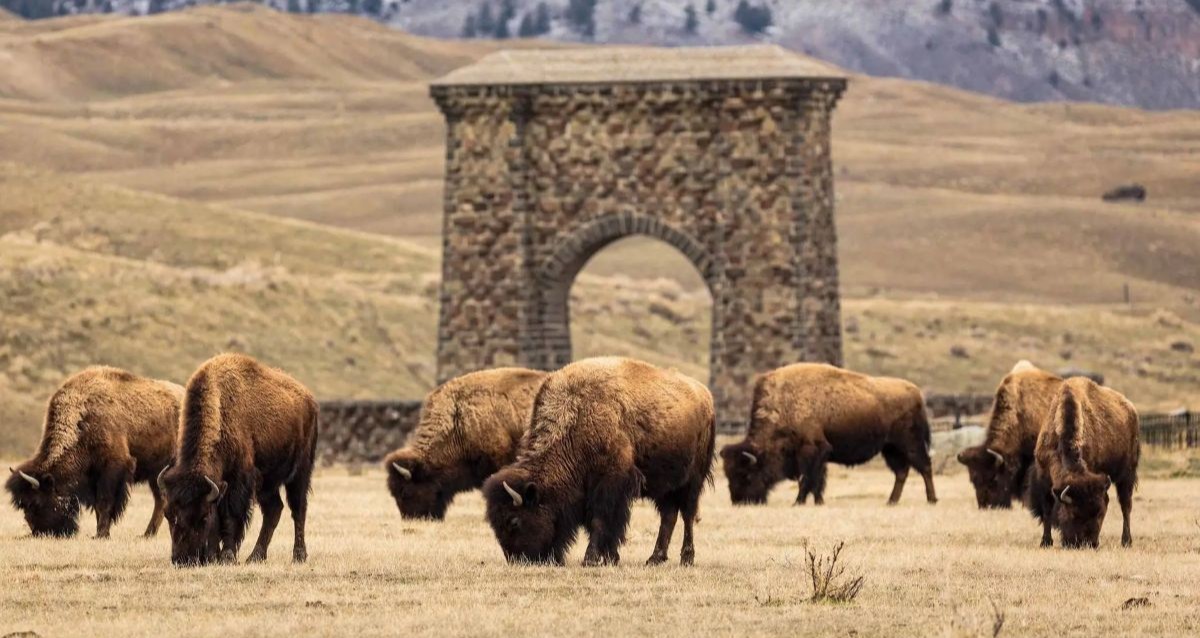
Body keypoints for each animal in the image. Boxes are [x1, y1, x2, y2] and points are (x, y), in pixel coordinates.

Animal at [6, 367, 182, 538]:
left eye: (34, 502)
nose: (39, 532)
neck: (82, 417)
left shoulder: (112, 470)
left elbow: (104, 503)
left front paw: (101, 534)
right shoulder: (94, 478)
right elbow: (98, 506)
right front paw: (100, 533)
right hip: (156, 474)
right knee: (161, 501)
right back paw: (147, 534)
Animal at [159, 353, 319, 566]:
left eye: (202, 517)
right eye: (168, 514)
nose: (182, 559)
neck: (220, 408)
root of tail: (310, 399)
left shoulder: (239, 479)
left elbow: (230, 515)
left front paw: (226, 556)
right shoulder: (221, 485)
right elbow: (219, 520)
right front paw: (214, 556)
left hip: (300, 472)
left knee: (298, 508)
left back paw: (298, 555)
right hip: (267, 483)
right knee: (274, 509)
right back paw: (255, 556)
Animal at [483, 357, 715, 566]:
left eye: (514, 521)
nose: (518, 561)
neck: (577, 414)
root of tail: (705, 396)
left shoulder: (609, 485)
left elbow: (600, 520)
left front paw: (591, 559)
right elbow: (602, 524)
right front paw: (610, 558)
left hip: (692, 482)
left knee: (687, 515)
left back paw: (686, 558)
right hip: (665, 486)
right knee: (669, 516)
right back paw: (654, 559)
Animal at [721, 363, 936, 506]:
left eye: (746, 474)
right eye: (728, 475)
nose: (739, 501)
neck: (785, 405)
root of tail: (917, 393)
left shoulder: (812, 450)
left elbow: (808, 478)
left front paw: (798, 502)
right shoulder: (820, 453)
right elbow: (817, 480)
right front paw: (818, 502)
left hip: (910, 444)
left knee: (924, 467)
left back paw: (931, 499)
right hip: (890, 449)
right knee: (902, 472)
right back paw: (891, 501)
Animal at [1028, 378, 1139, 549]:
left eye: (1100, 513)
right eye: (1074, 513)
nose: (1088, 543)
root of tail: (1131, 409)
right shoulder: (1044, 477)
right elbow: (1047, 509)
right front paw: (1045, 541)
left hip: (1127, 474)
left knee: (1126, 506)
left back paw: (1126, 541)